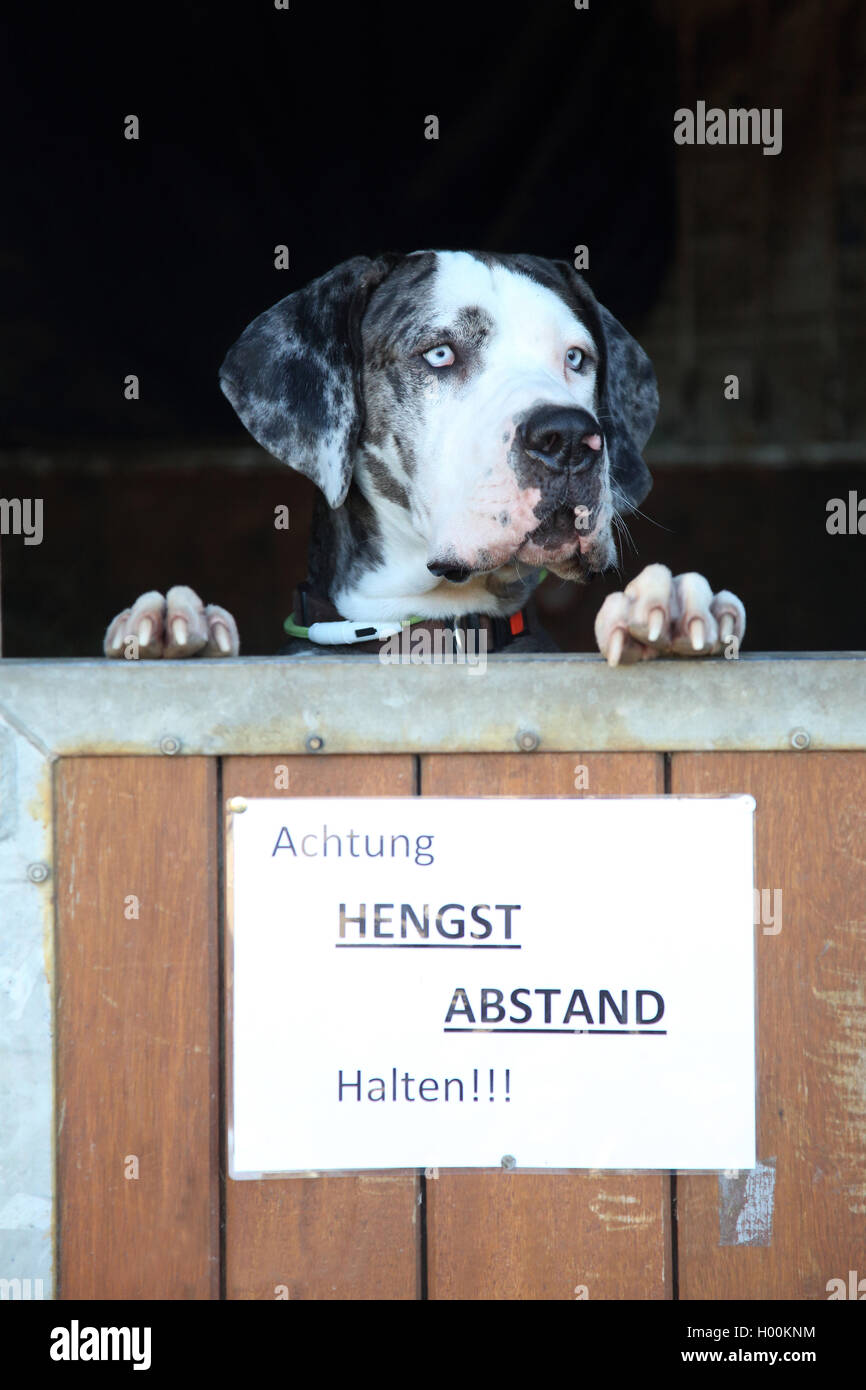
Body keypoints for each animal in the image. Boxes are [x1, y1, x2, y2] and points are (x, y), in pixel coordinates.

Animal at [104, 252, 745, 664]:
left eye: (576, 358)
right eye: (440, 354)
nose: (567, 438)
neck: (435, 619)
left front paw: (668, 614)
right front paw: (168, 627)